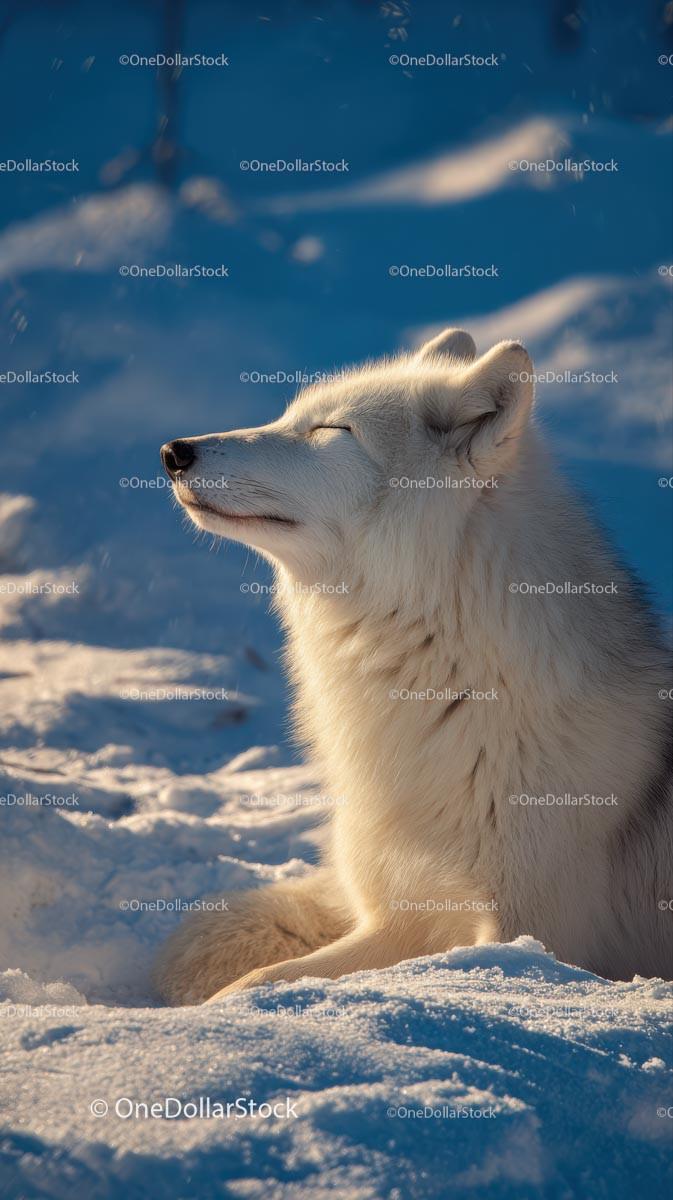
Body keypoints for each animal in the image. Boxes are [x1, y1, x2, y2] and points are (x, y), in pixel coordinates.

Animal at [153, 328, 672, 1005]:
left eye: (331, 430)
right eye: (286, 417)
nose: (173, 452)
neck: (453, 686)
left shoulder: (531, 931)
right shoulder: (397, 915)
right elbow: (261, 976)